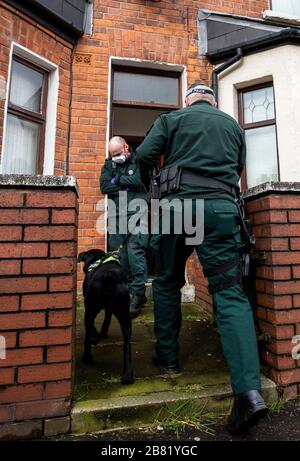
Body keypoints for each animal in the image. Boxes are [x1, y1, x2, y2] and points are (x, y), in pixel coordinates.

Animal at [77, 248, 134, 384]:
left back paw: (87, 356)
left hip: (91, 307)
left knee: (88, 332)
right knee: (127, 346)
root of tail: (110, 277)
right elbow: (105, 323)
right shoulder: (109, 310)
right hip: (125, 315)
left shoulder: (88, 306)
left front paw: (95, 336)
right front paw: (100, 335)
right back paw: (127, 375)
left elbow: (93, 327)